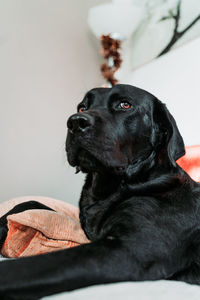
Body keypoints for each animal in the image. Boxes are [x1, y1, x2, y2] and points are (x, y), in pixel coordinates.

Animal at [0, 85, 200, 300]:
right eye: (82, 107)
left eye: (125, 105)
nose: (75, 122)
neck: (106, 189)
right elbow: (30, 203)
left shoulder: (128, 251)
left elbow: (29, 266)